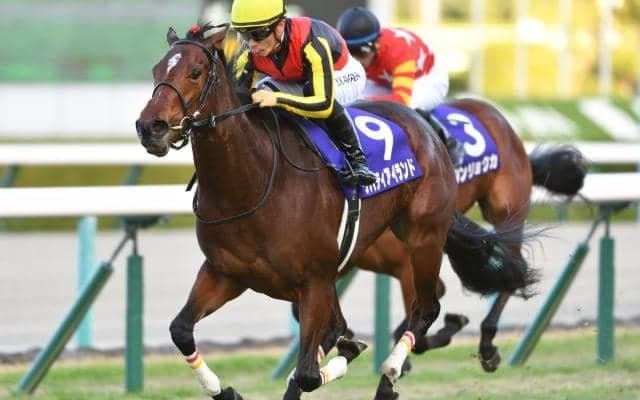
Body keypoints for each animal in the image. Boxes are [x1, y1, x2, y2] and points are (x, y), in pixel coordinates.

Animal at [135, 24, 537, 400]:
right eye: (156, 70)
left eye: (195, 72)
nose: (149, 127)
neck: (252, 182)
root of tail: (426, 129)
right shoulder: (226, 273)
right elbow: (181, 330)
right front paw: (227, 390)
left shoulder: (315, 280)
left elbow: (310, 371)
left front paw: (355, 353)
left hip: (434, 233)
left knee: (429, 306)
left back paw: (404, 371)